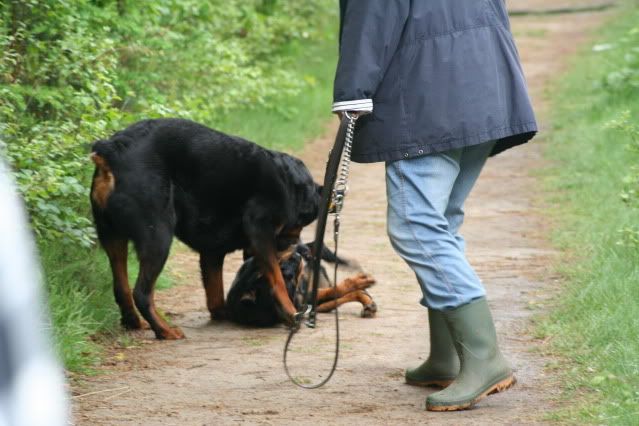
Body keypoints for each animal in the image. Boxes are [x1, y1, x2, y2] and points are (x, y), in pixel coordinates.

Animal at [90, 118, 324, 338]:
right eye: (301, 224)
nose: (301, 248)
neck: (288, 183)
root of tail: (112, 150)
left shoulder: (213, 251)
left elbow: (215, 293)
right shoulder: (260, 232)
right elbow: (276, 279)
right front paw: (291, 312)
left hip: (111, 236)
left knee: (121, 287)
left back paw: (133, 321)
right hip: (158, 236)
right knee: (141, 293)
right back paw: (164, 330)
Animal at [228, 243, 378, 326]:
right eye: (280, 271)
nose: (297, 254)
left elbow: (336, 290)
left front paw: (362, 288)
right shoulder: (305, 301)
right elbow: (337, 290)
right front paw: (361, 284)